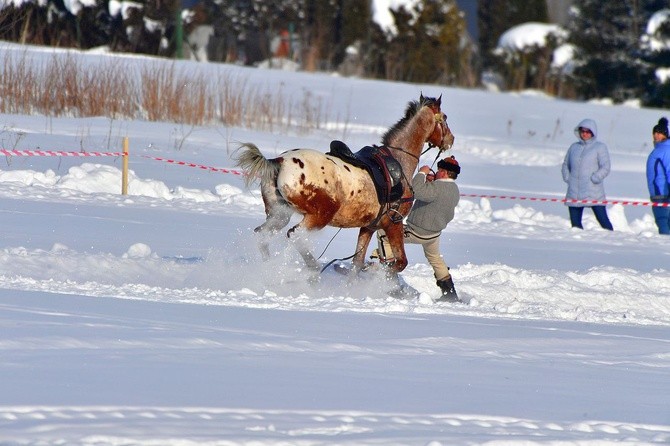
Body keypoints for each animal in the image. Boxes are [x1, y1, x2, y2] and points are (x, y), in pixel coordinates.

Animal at [236, 93, 456, 276]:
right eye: (445, 118)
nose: (451, 140)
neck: (399, 161)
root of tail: (279, 161)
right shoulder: (393, 223)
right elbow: (399, 263)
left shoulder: (368, 227)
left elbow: (357, 263)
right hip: (318, 217)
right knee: (295, 236)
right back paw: (312, 268)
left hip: (279, 215)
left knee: (262, 236)